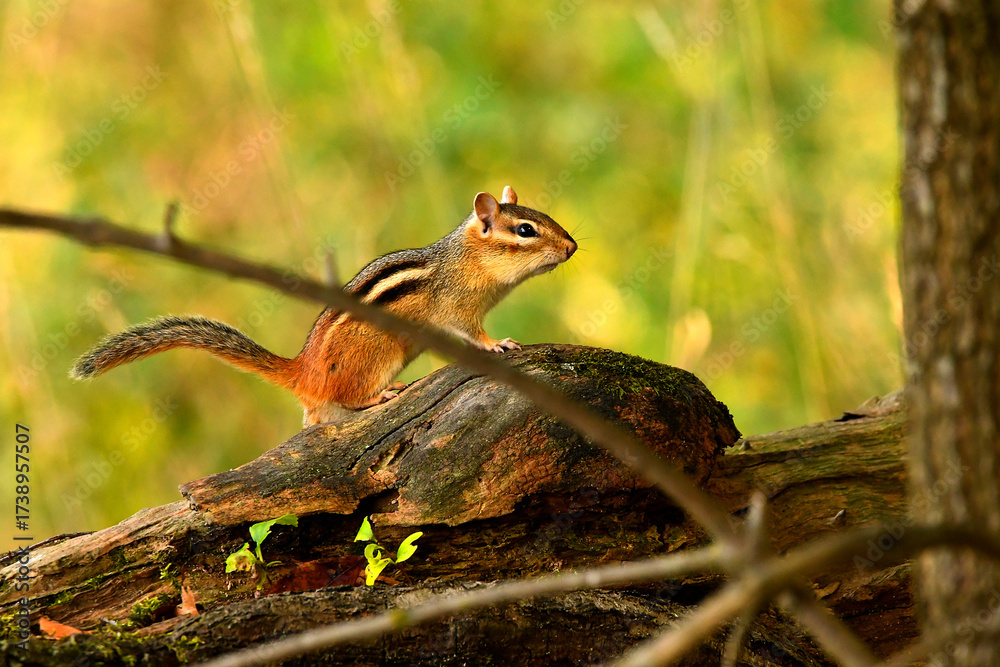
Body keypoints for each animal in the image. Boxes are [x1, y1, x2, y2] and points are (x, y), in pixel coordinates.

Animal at [71, 186, 577, 425]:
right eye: (526, 230)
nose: (572, 247)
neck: (468, 256)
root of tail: (304, 370)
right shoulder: (458, 307)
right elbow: (473, 333)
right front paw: (498, 344)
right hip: (376, 355)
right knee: (347, 399)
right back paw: (380, 395)